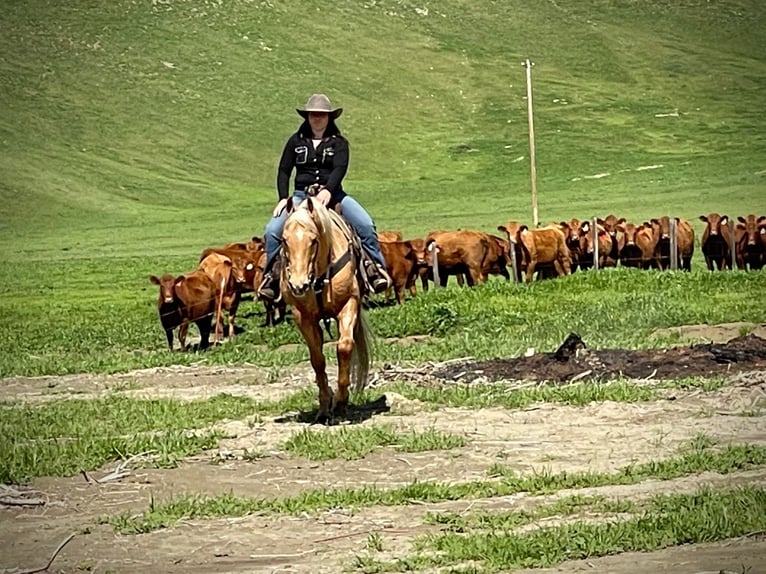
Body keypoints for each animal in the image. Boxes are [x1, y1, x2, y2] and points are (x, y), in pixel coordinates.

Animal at [280, 196, 374, 426]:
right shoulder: (303, 317)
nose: (299, 285)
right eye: (284, 240)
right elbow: (317, 359)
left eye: (313, 240)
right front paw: (324, 406)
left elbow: (344, 347)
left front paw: (341, 401)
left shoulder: (349, 304)